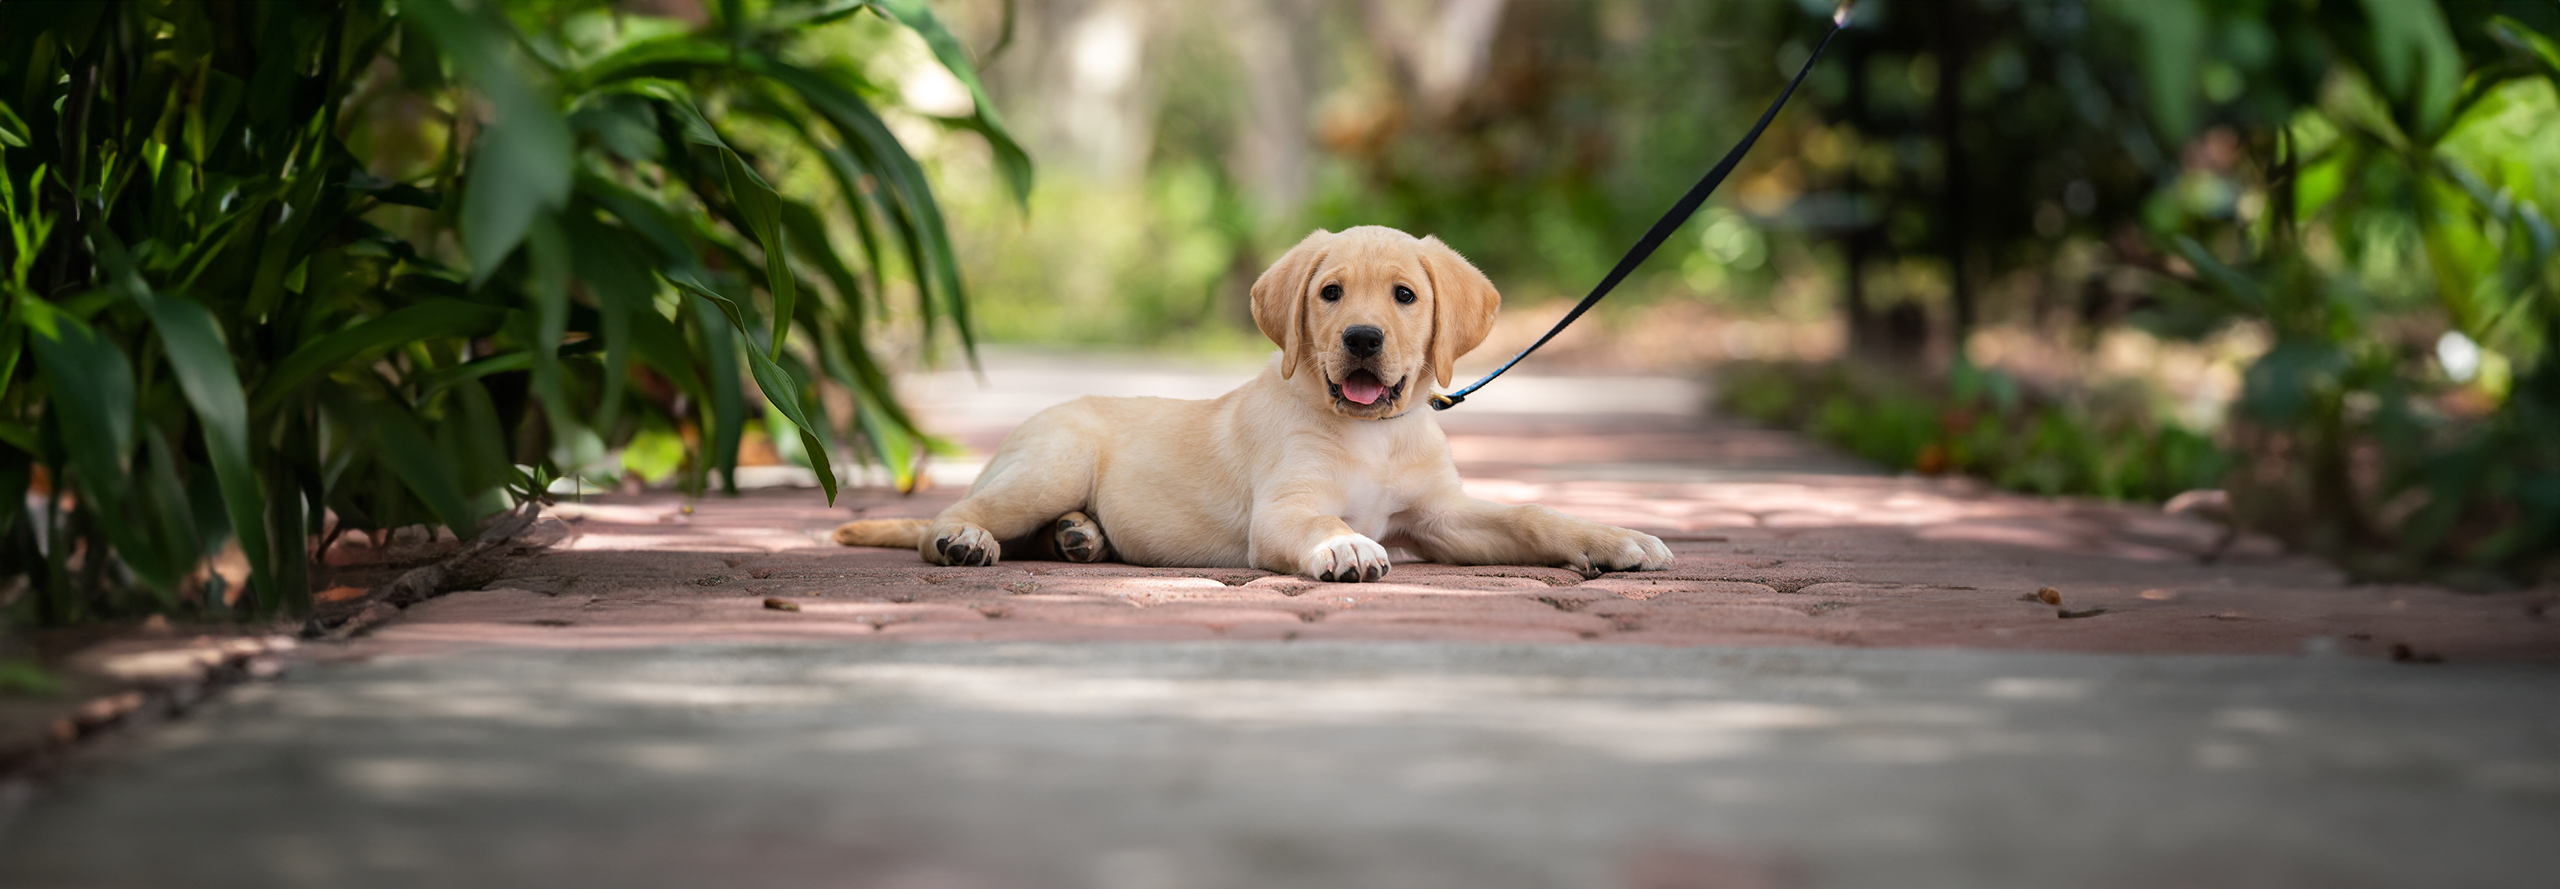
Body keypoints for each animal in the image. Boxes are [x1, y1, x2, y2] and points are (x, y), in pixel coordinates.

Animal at [839, 226, 1669, 581]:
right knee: (951, 518)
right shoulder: (1285, 508)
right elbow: (1321, 522)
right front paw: (1344, 547)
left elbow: (1531, 515)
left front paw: (1615, 537)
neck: (1371, 430)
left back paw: (1078, 537)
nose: (1362, 337)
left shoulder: (1441, 516)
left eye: (1404, 295)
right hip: (1050, 464)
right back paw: (968, 542)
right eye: (1330, 292)